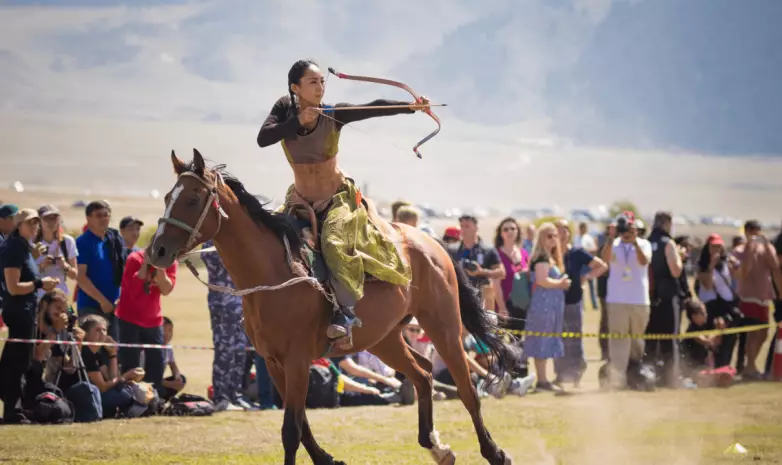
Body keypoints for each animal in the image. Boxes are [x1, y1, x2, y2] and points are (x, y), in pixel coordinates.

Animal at [147, 150, 520, 464]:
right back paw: (437, 447)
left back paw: (495, 452)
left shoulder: (297, 360)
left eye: (193, 199)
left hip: (443, 325)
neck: (274, 275)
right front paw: (327, 459)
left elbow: (291, 430)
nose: (157, 251)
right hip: (383, 338)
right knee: (424, 372)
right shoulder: (274, 363)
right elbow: (300, 424)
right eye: (167, 198)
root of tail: (431, 242)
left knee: (467, 387)